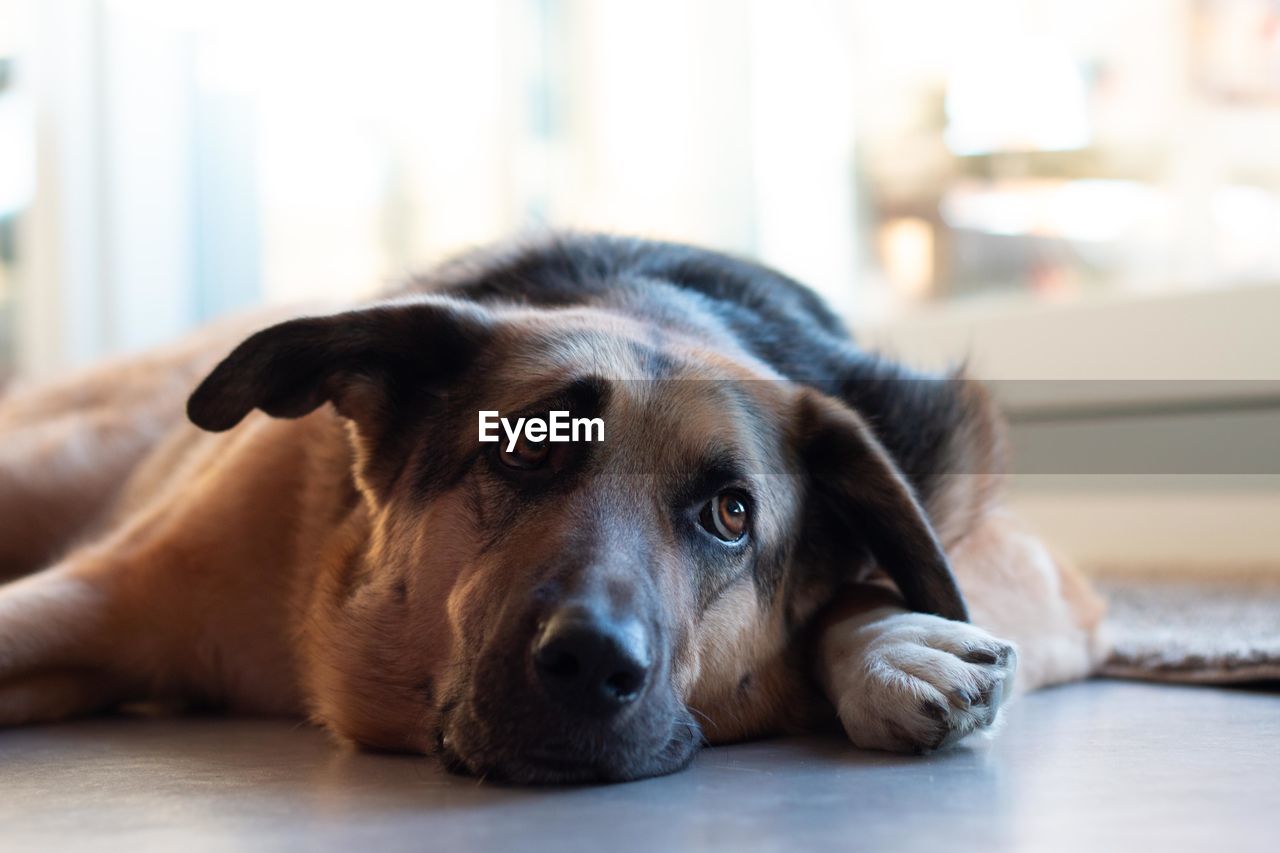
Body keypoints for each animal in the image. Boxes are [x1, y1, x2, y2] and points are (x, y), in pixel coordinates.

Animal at [0, 235, 1100, 778]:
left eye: (730, 514)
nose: (592, 664)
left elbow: (874, 585)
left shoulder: (1027, 566)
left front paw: (889, 643)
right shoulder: (90, 595)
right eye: (525, 449)